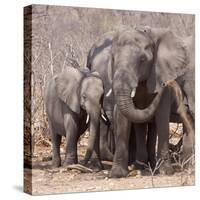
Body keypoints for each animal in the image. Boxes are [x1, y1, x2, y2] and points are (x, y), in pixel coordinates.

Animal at [87, 27, 191, 178]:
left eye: (143, 60)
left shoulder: (161, 75)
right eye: (113, 59)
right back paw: (141, 165)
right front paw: (117, 174)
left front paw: (166, 172)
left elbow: (161, 115)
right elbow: (122, 117)